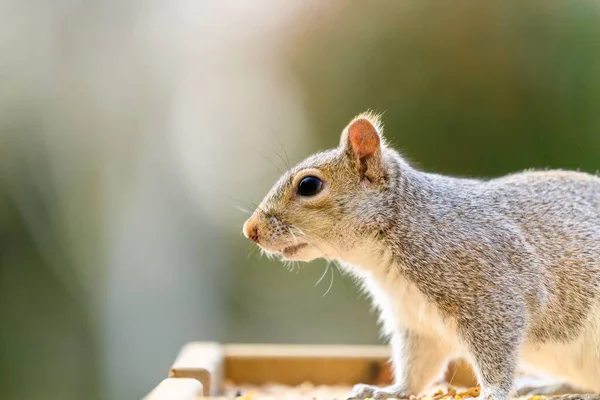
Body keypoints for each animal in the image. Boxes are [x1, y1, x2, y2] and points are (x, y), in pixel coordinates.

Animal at [241, 112, 600, 400]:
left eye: (309, 185)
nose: (250, 231)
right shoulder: (416, 323)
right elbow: (418, 366)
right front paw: (390, 391)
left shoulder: (491, 292)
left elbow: (497, 351)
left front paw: (493, 392)